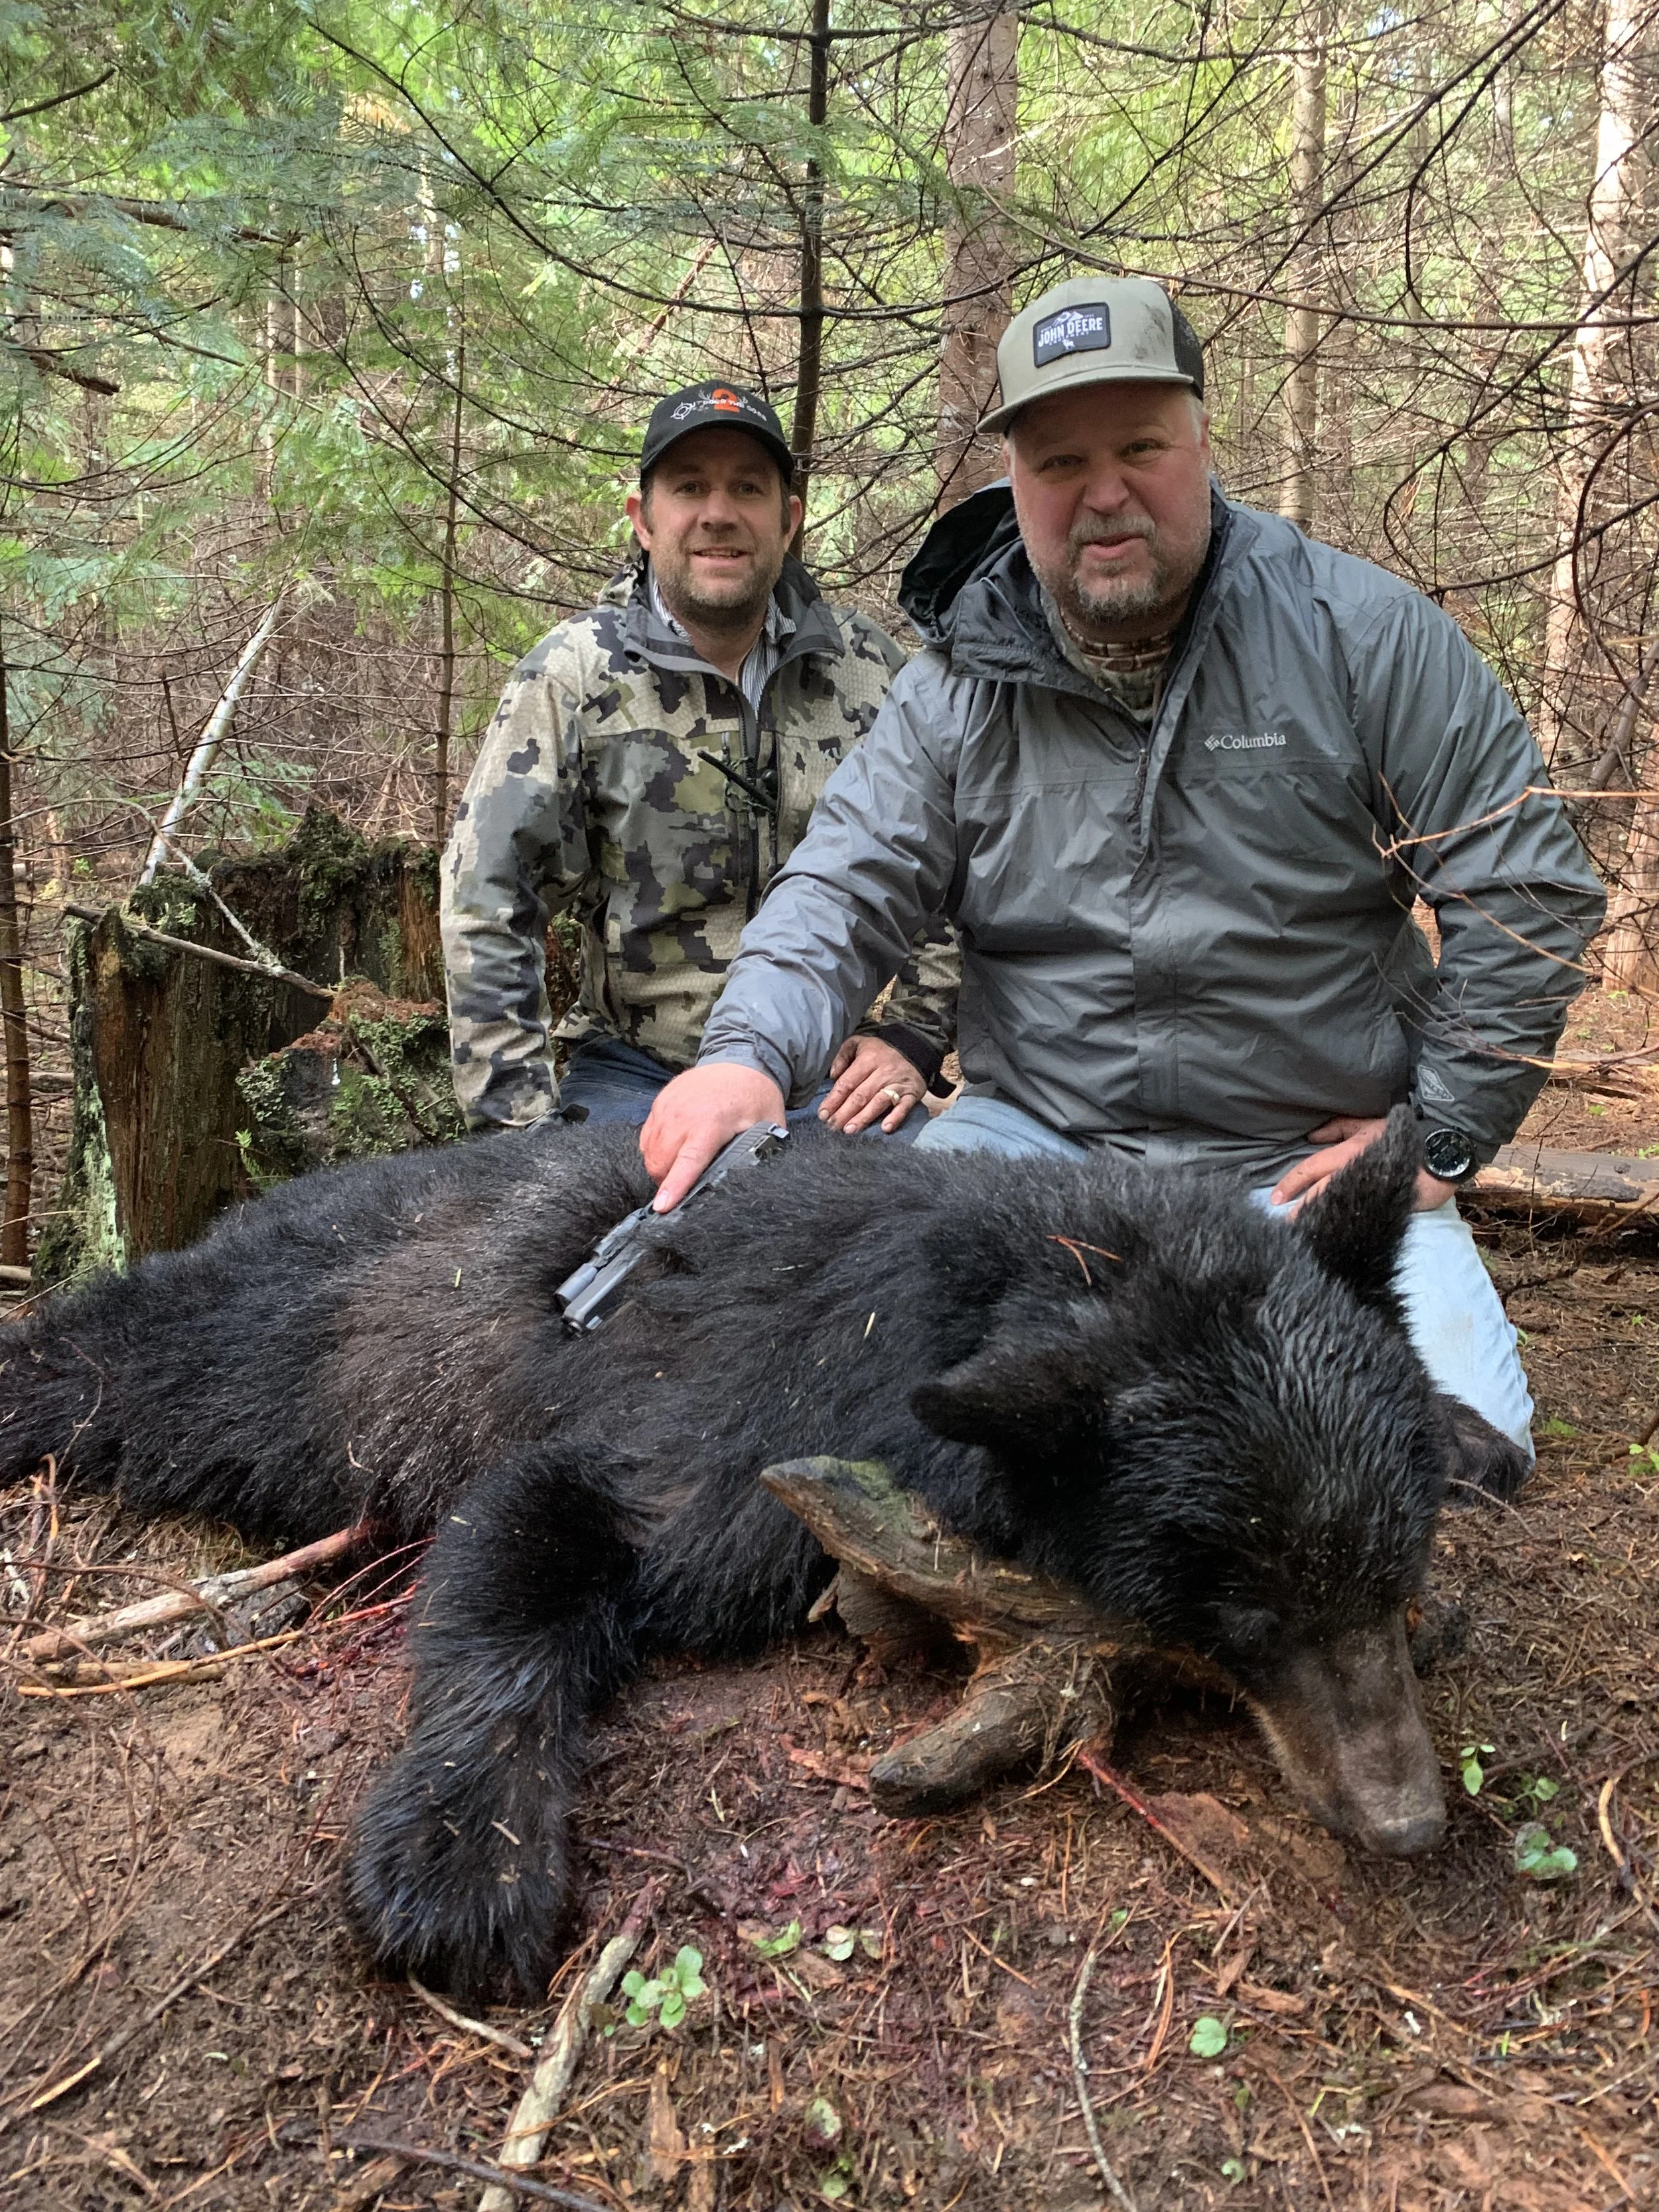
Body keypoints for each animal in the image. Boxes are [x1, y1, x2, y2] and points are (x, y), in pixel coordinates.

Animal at [0, 1105, 1522, 2002]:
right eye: (1246, 1611)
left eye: (1390, 1571)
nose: (1405, 1818)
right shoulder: (731, 1425)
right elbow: (536, 1531)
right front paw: (458, 1860)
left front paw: (1468, 1435)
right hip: (304, 1345)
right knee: (139, 1355)